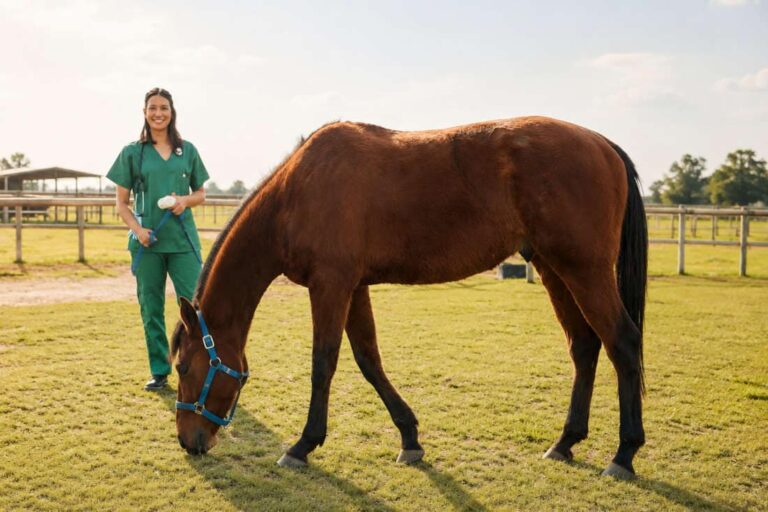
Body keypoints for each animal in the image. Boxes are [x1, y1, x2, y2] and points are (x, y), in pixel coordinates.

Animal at [171, 116, 648, 480]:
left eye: (183, 366)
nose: (188, 441)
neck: (297, 192)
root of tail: (601, 143)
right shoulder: (353, 286)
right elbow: (369, 360)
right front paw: (410, 438)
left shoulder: (331, 285)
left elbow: (323, 364)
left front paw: (303, 445)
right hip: (554, 269)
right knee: (584, 346)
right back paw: (565, 442)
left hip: (584, 270)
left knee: (622, 342)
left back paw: (624, 454)